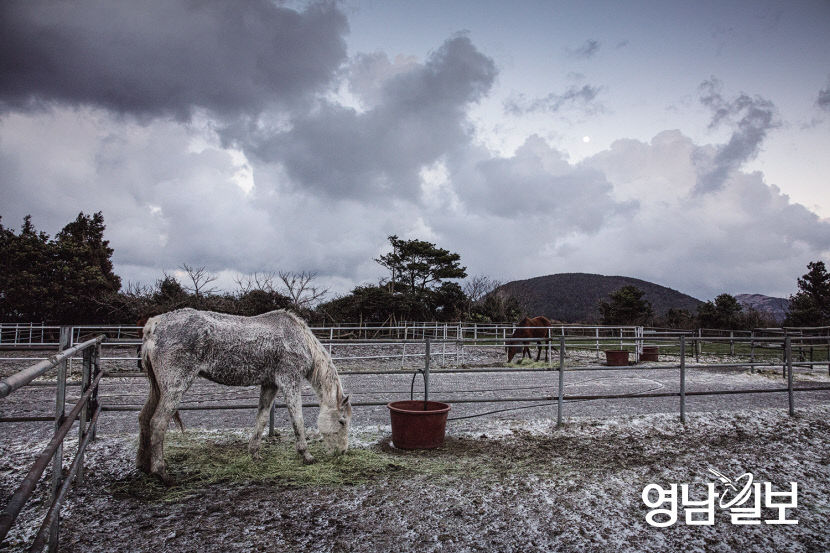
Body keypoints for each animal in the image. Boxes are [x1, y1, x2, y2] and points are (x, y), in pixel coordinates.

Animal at [137, 308, 352, 484]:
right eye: (342, 422)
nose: (342, 452)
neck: (299, 340)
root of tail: (154, 325)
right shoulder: (289, 381)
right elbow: (297, 420)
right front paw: (306, 455)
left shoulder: (270, 384)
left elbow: (262, 418)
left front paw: (254, 453)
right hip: (175, 388)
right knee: (157, 423)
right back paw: (162, 473)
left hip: (159, 389)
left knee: (144, 418)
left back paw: (144, 467)